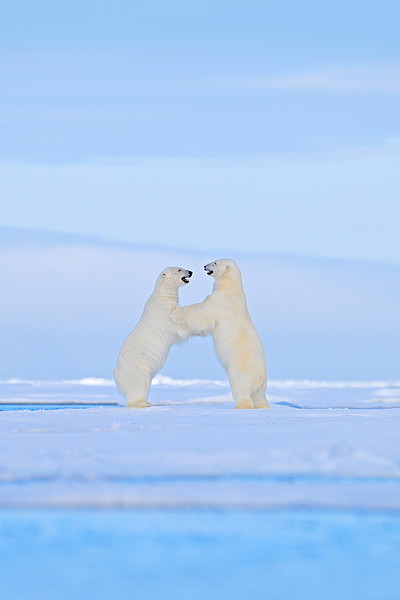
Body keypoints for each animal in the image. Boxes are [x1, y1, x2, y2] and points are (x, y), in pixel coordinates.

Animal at [113, 268, 193, 408]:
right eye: (179, 269)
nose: (190, 272)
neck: (162, 296)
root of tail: (116, 375)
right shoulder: (164, 314)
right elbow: (179, 329)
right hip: (136, 367)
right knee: (140, 383)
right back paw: (143, 403)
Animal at [173, 260, 268, 410]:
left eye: (215, 263)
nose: (205, 266)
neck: (231, 288)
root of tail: (259, 373)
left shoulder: (221, 301)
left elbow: (203, 311)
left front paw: (177, 310)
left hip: (241, 366)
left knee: (240, 385)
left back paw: (240, 406)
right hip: (262, 382)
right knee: (259, 396)